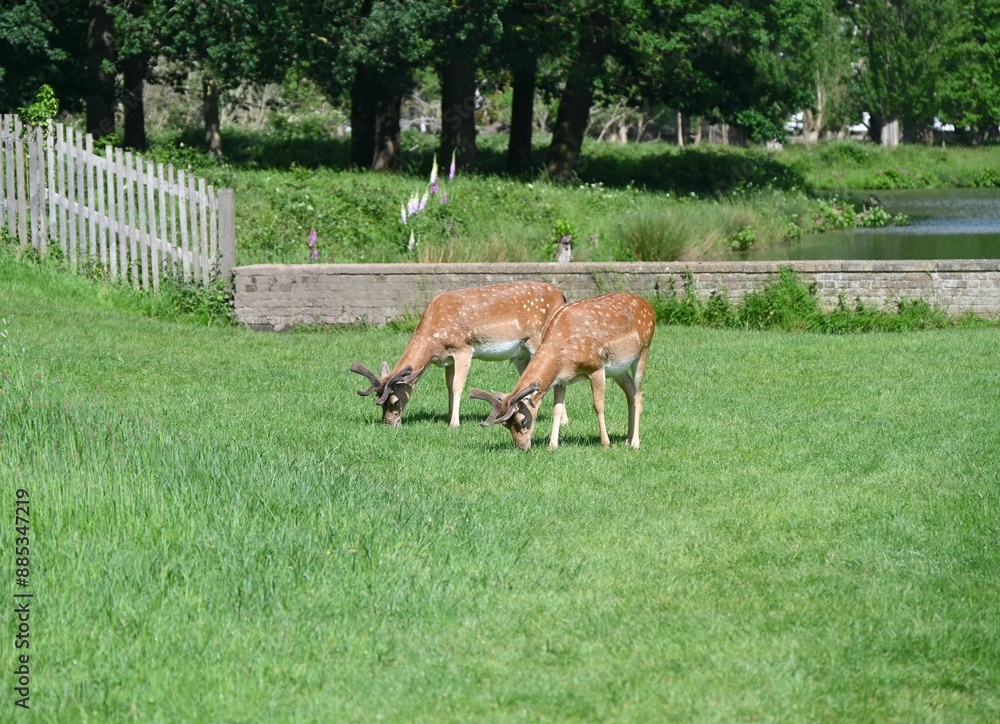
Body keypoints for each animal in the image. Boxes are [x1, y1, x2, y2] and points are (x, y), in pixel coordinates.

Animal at [350, 281, 567, 427]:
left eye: (394, 401)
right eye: (378, 400)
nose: (388, 422)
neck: (433, 341)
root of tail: (562, 296)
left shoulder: (464, 349)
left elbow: (457, 385)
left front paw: (454, 423)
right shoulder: (448, 359)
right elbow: (448, 386)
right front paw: (448, 416)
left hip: (539, 340)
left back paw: (564, 421)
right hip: (521, 353)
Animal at [469, 293, 655, 451]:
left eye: (522, 421)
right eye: (505, 425)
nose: (521, 447)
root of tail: (648, 305)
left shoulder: (596, 367)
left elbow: (598, 405)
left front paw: (605, 443)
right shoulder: (561, 379)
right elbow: (557, 409)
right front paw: (552, 445)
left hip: (644, 350)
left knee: (638, 393)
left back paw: (635, 443)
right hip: (618, 369)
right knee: (630, 391)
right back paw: (627, 439)